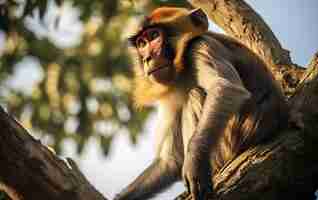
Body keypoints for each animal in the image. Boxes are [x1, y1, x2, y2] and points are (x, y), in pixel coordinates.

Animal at [114, 6, 288, 200]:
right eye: (141, 43)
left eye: (154, 36)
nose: (147, 58)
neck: (183, 68)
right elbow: (170, 162)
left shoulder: (201, 45)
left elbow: (226, 89)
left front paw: (194, 162)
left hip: (231, 139)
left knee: (195, 94)